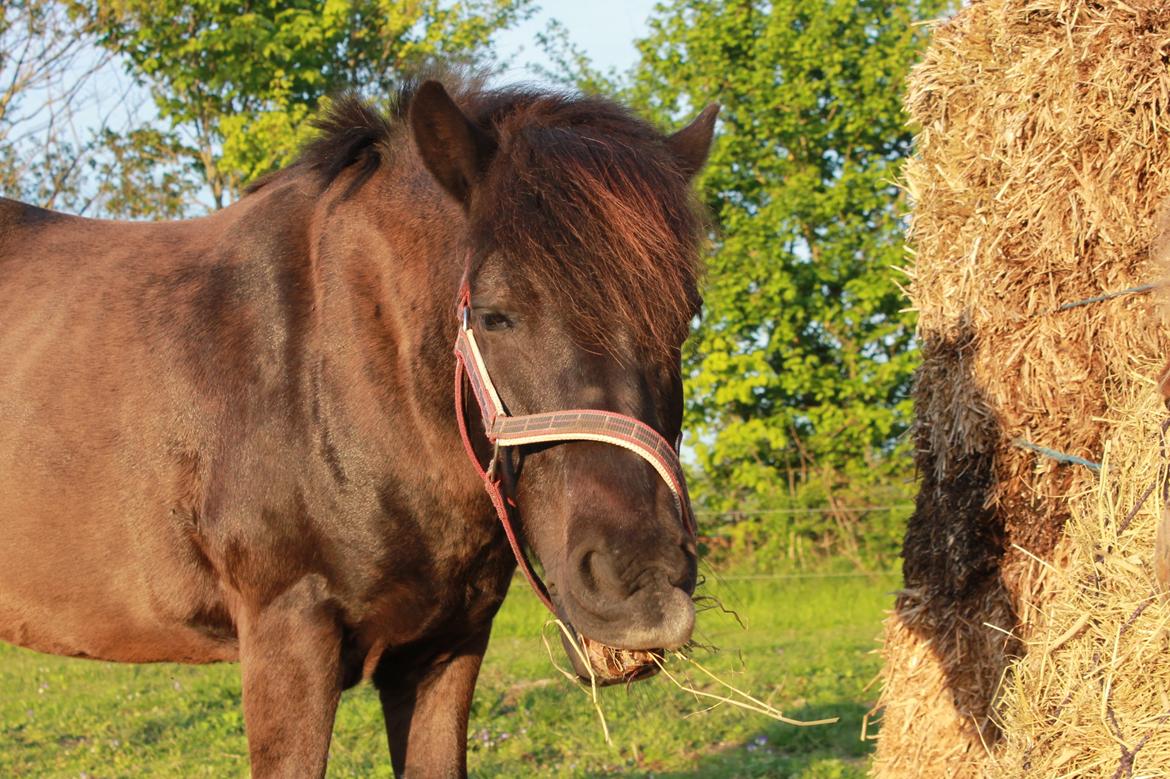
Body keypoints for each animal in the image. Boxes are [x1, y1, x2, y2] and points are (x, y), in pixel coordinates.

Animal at [0, 76, 711, 771]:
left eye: (685, 315)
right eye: (492, 314)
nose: (642, 583)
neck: (335, 373)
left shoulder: (446, 649)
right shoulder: (288, 644)